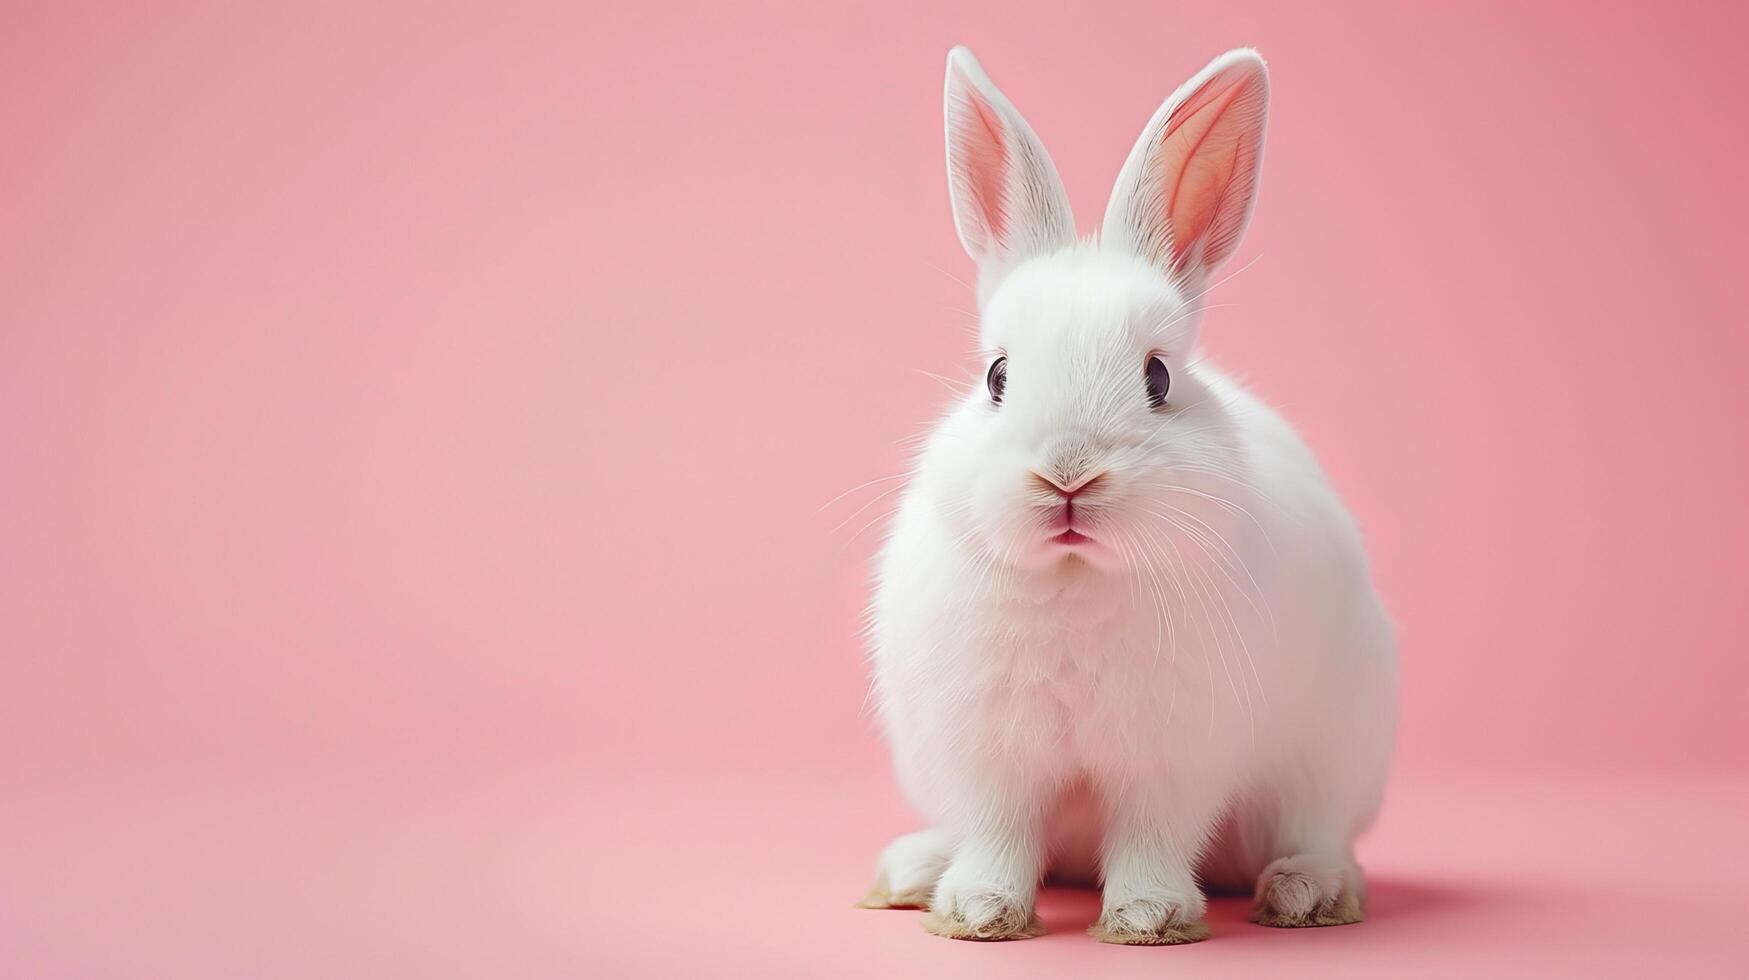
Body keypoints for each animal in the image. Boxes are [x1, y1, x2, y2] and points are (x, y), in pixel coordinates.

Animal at [860, 47, 1392, 952]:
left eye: (1159, 378)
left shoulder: (1172, 757)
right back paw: (913, 872)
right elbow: (1000, 833)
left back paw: (1304, 893)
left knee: (1315, 839)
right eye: (996, 377)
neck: (1076, 577)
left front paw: (1148, 918)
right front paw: (977, 911)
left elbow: (1151, 833)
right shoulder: (989, 754)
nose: (1068, 474)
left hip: (1326, 767)